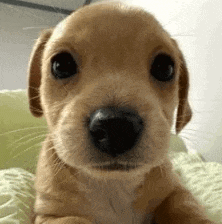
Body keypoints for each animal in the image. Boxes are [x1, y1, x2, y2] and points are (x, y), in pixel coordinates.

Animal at [27, 0, 215, 223]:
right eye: (61, 64)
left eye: (165, 68)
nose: (115, 127)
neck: (114, 184)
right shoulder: (51, 215)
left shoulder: (175, 191)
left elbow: (185, 206)